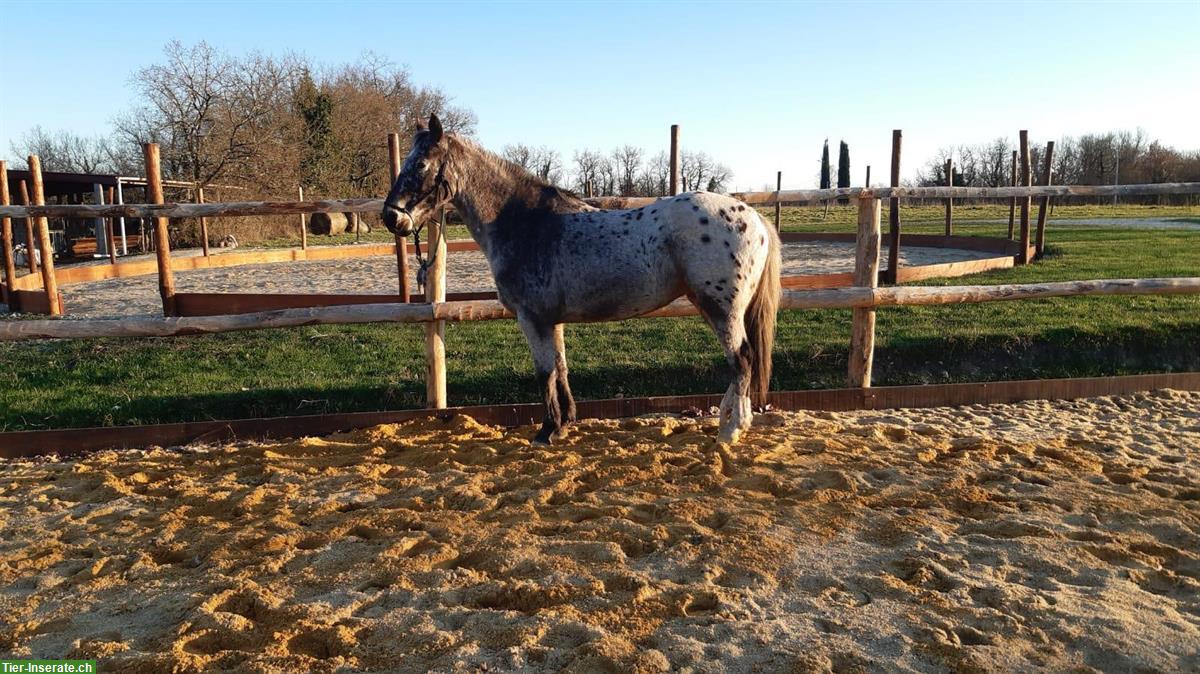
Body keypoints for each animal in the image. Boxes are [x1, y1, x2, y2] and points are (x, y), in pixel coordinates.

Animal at [379, 112, 782, 443]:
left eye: (420, 164)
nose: (390, 217)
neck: (525, 223)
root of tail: (754, 217)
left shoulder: (532, 319)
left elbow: (544, 373)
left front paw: (546, 430)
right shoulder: (551, 320)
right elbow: (561, 367)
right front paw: (565, 423)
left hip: (721, 308)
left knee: (742, 359)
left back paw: (731, 430)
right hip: (712, 305)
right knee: (741, 362)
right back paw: (729, 420)